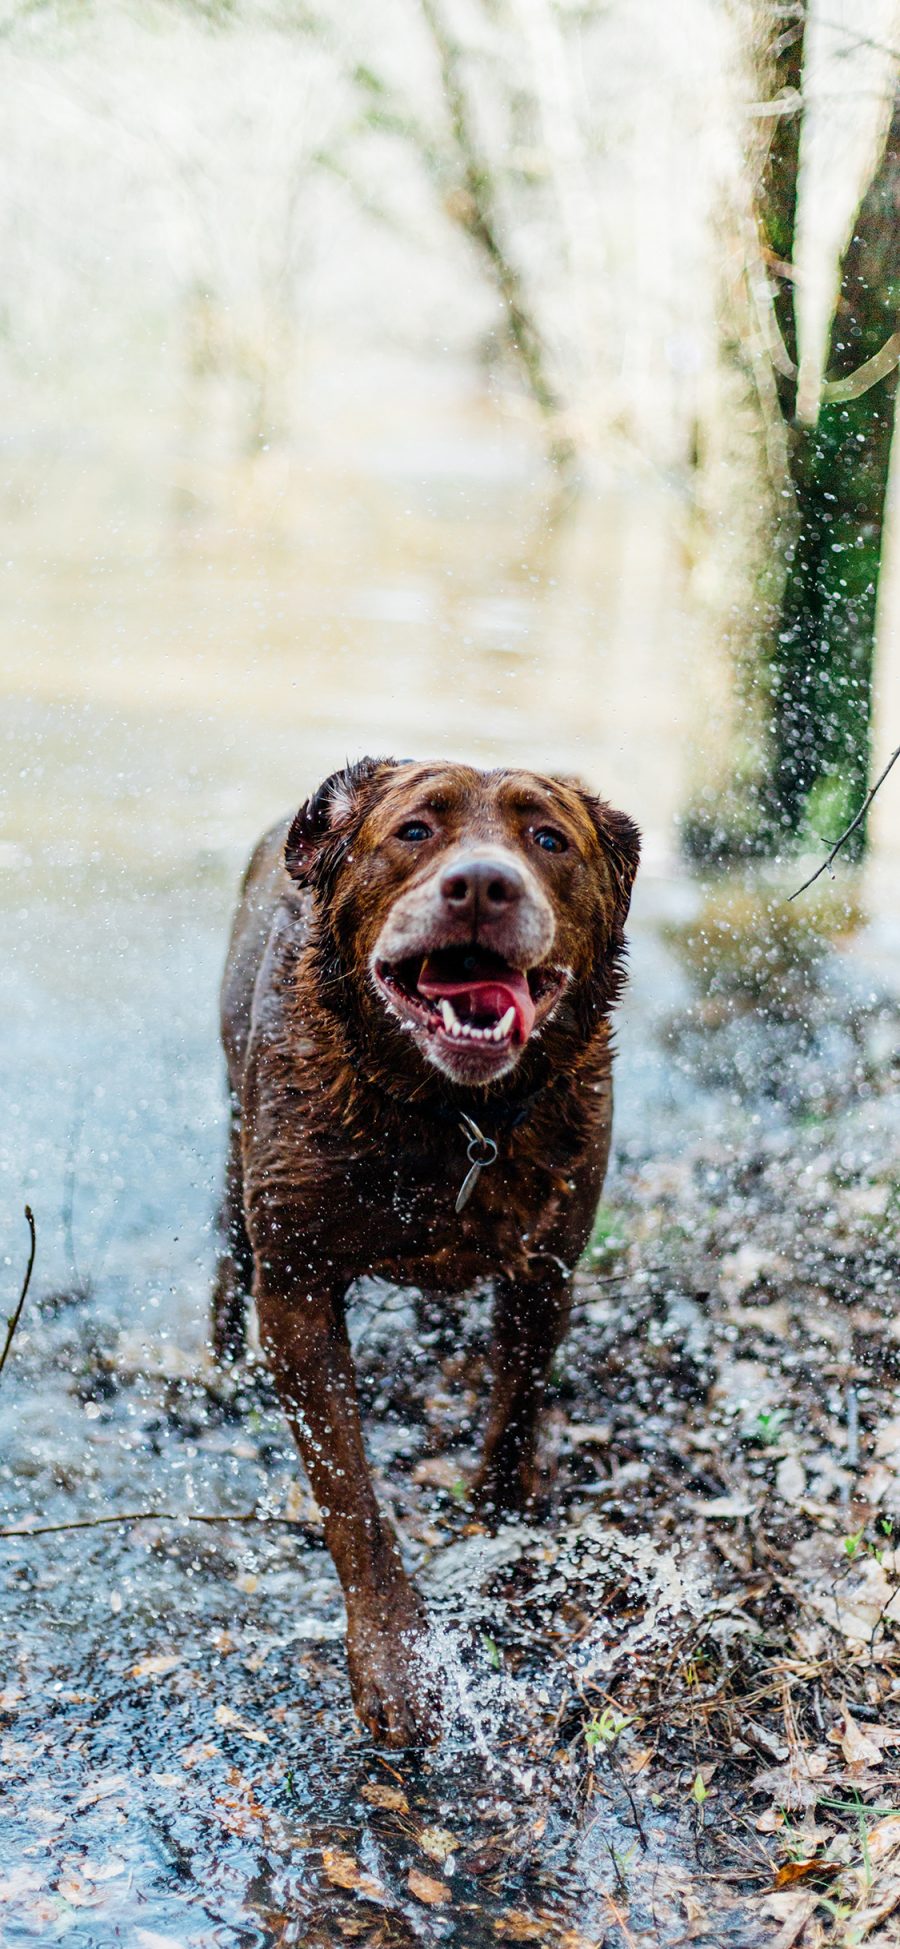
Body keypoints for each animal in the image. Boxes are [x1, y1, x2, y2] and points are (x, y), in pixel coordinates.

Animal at [211, 752, 638, 1746]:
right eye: (414, 829)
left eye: (548, 838)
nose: (482, 883)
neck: (453, 1116)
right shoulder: (295, 1284)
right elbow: (351, 1496)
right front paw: (398, 1662)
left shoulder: (550, 1263)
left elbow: (517, 1397)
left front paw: (502, 1513)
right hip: (238, 1151)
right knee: (224, 1254)